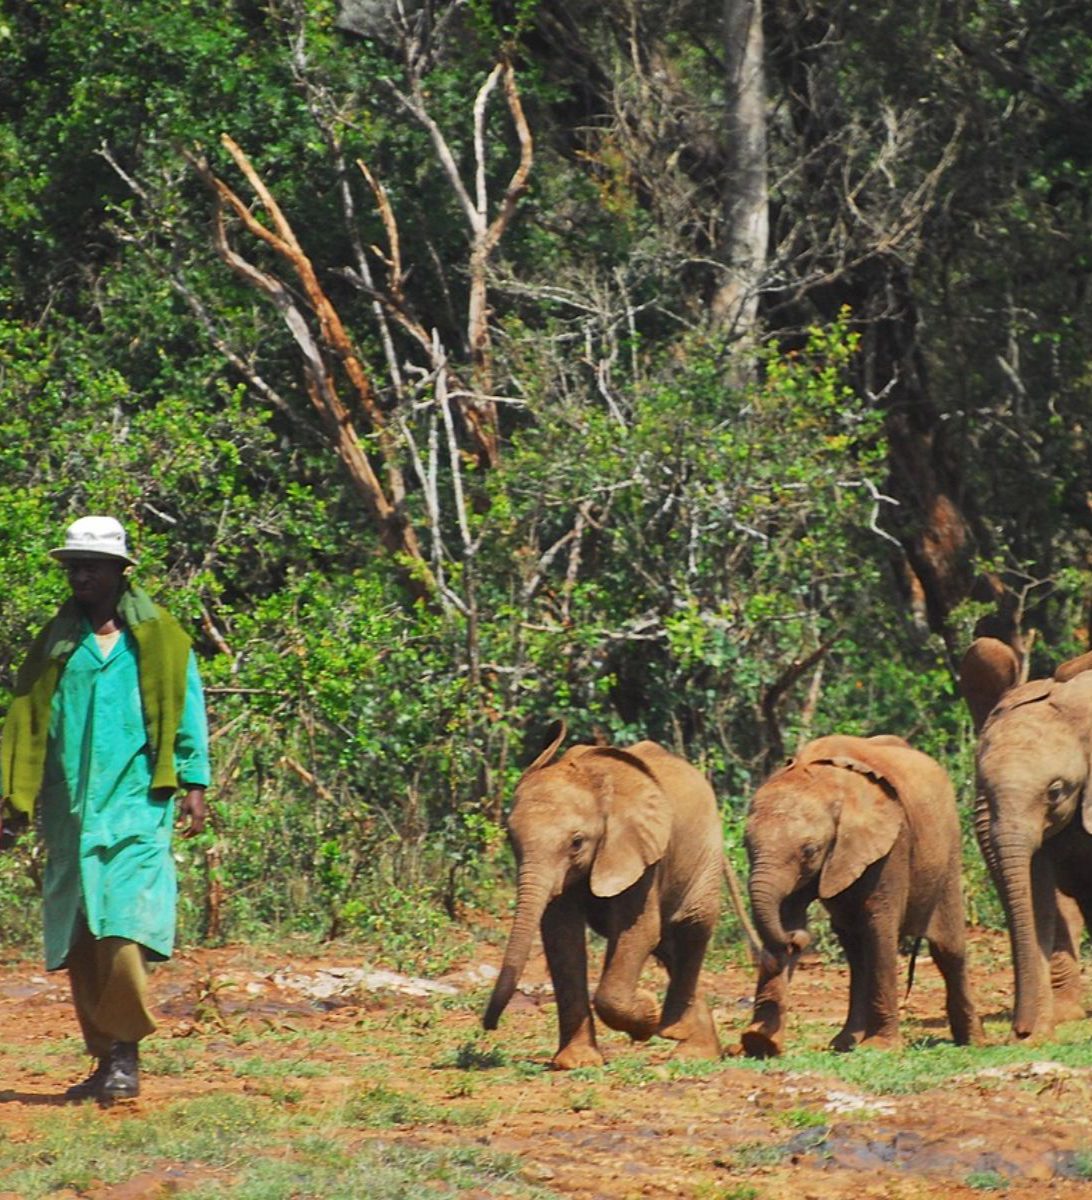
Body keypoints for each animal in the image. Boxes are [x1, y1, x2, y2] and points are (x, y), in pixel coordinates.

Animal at [482, 724, 723, 1069]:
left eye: (577, 843)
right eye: (511, 839)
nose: (489, 1026)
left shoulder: (643, 851)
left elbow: (638, 932)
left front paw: (646, 1015)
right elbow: (562, 937)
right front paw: (577, 1062)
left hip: (706, 850)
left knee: (692, 927)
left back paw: (679, 1039)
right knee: (667, 945)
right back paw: (696, 1051)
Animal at [740, 734, 983, 1057]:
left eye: (810, 851)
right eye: (745, 845)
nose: (798, 940)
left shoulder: (891, 846)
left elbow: (880, 925)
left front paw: (881, 1048)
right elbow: (787, 914)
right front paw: (759, 1043)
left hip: (948, 852)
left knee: (947, 949)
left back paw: (973, 1041)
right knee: (856, 950)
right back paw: (845, 1043)